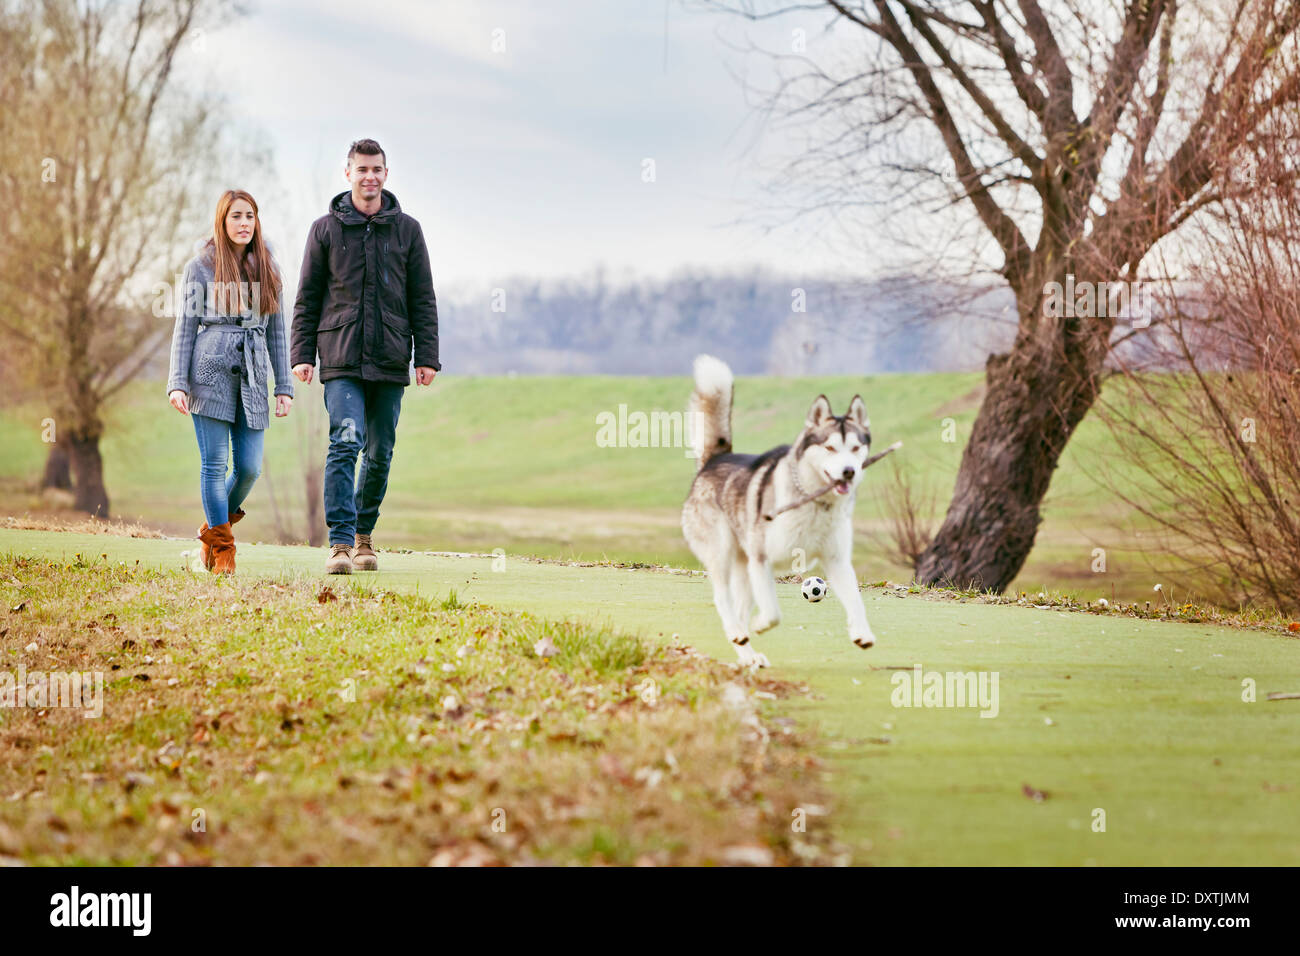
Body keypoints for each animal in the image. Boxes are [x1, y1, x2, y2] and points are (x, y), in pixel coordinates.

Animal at [681, 356, 873, 671]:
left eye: (856, 447)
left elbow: (856, 600)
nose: (849, 471)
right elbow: (772, 613)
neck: (815, 504)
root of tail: (717, 459)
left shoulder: (837, 561)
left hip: (743, 569)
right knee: (723, 598)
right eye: (830, 447)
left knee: (739, 609)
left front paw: (862, 633)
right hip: (722, 554)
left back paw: (747, 653)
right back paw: (738, 631)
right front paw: (760, 625)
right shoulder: (762, 560)